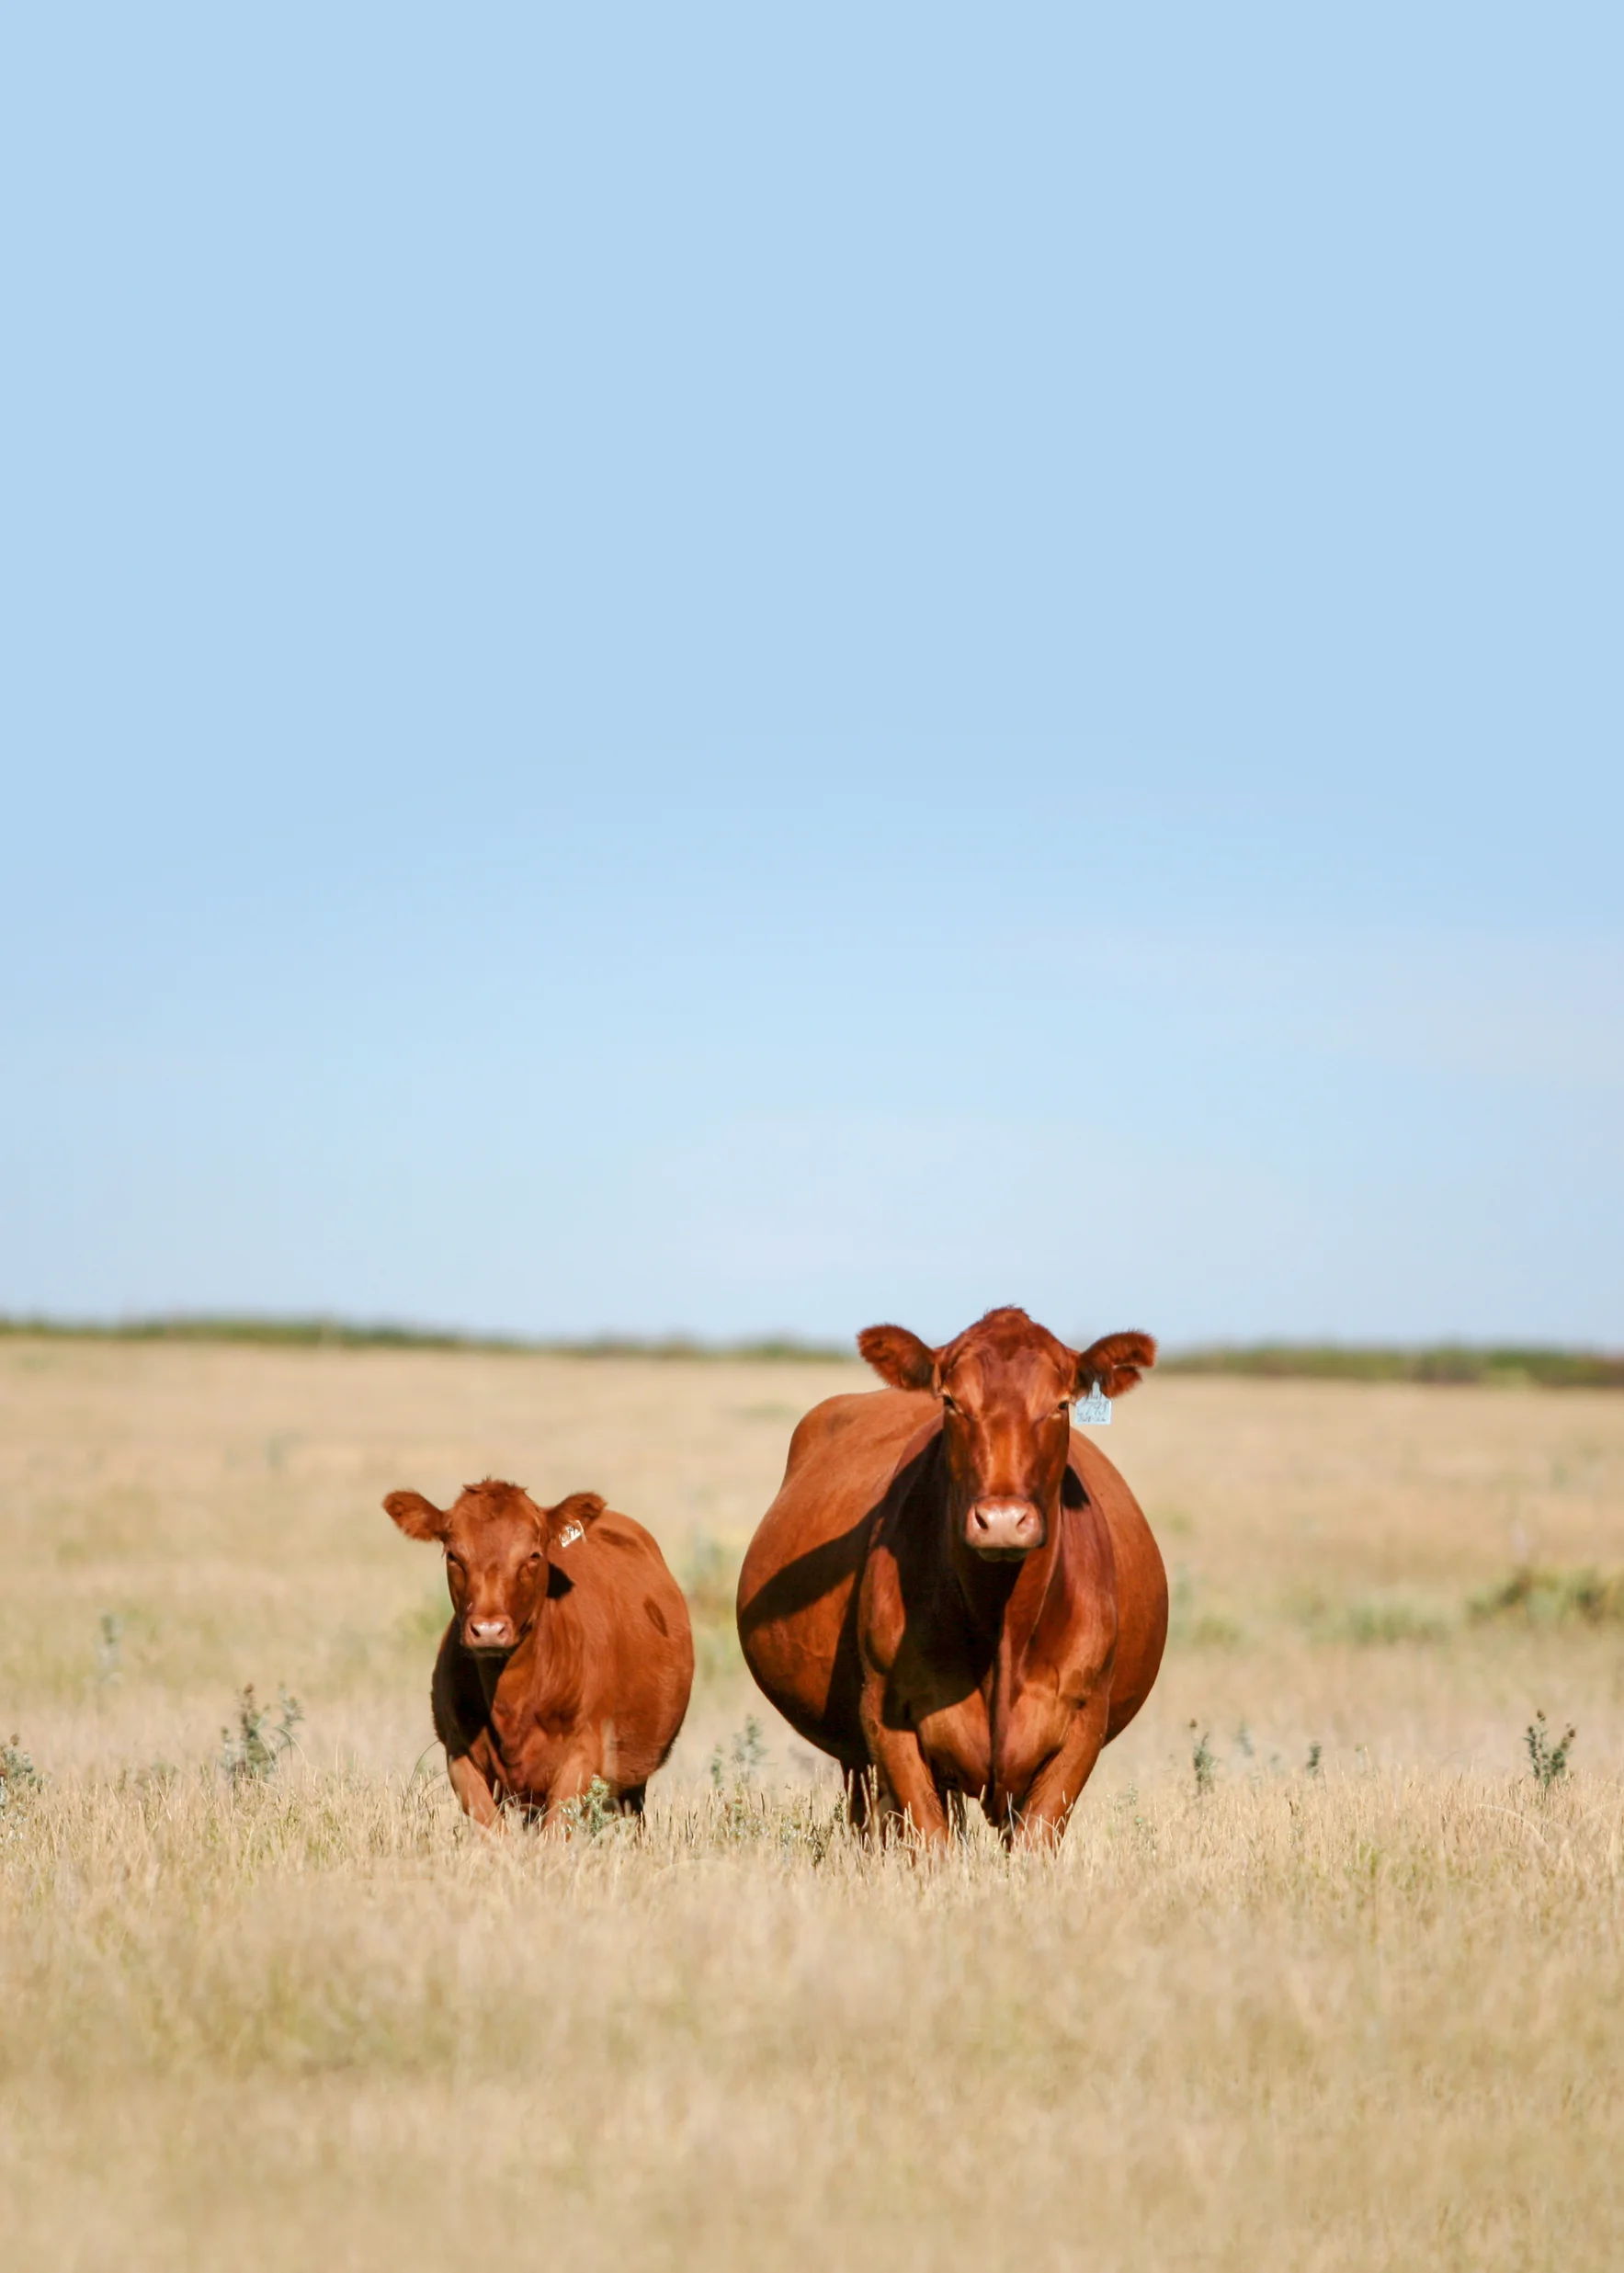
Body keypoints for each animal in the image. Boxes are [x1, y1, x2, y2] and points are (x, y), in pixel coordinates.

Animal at [383, 1478, 694, 1826]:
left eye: (533, 1555)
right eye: (454, 1555)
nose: (488, 1629)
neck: (511, 1701)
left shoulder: (583, 1756)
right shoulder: (459, 1754)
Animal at [735, 1307, 1165, 1846]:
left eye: (1062, 1404)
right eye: (952, 1401)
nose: (1001, 1520)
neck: (1001, 1626)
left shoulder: (1082, 1726)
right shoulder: (889, 1723)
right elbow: (931, 1840)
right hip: (858, 1759)